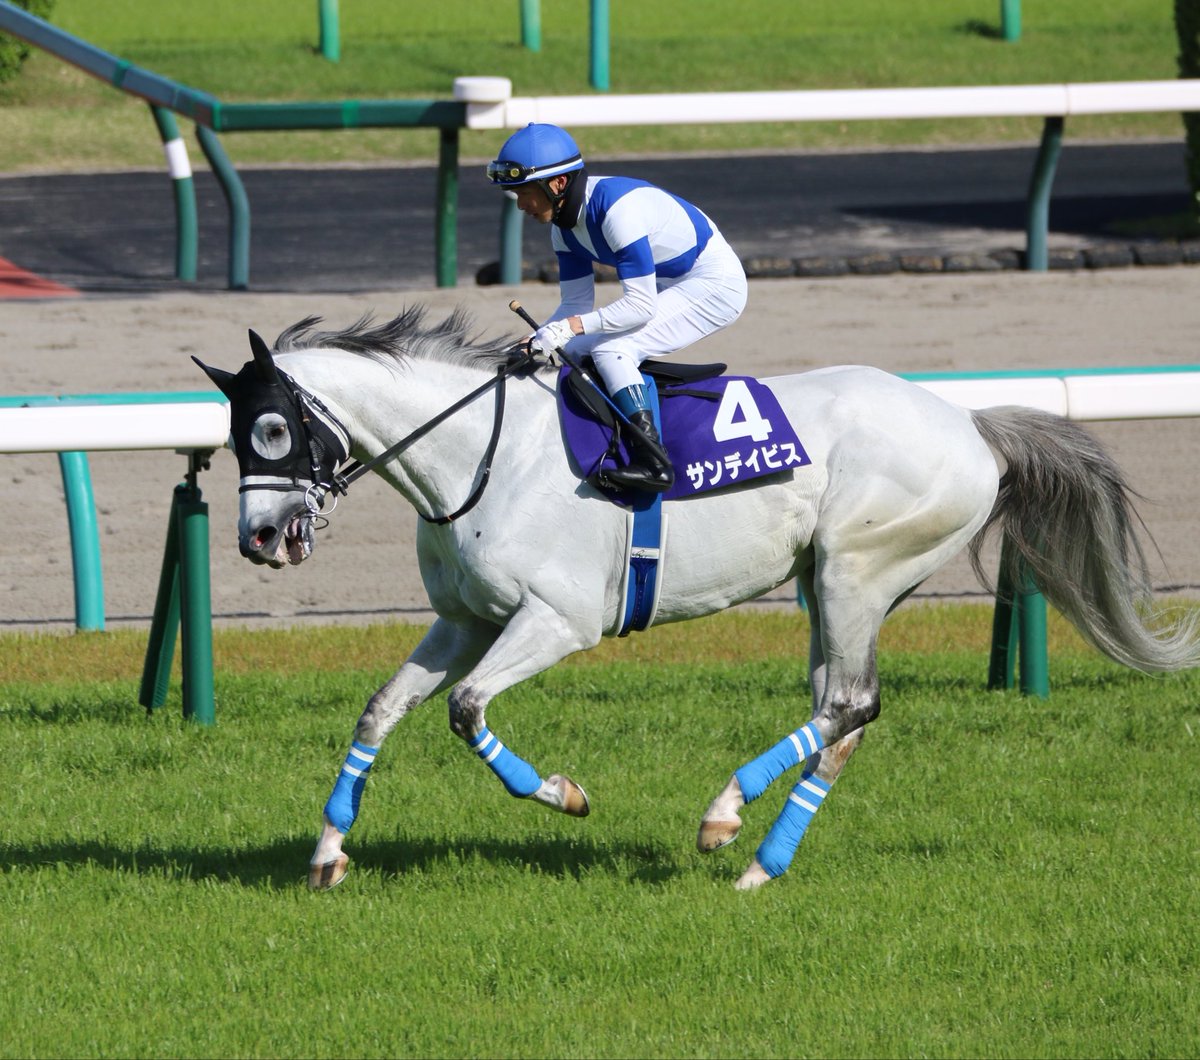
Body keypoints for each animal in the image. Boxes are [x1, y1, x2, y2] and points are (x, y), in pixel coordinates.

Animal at [194, 306, 1200, 892]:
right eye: (234, 438)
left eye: (273, 429)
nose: (259, 538)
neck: (481, 456)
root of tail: (971, 424)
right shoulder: (464, 619)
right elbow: (379, 710)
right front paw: (328, 854)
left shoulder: (556, 620)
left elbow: (469, 709)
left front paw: (563, 794)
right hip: (826, 586)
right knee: (844, 712)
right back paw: (761, 861)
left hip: (856, 569)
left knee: (851, 703)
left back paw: (725, 814)